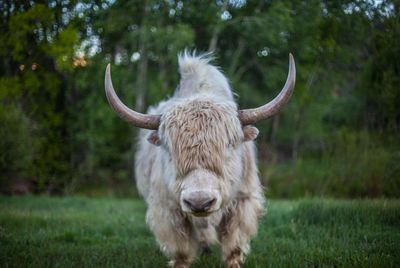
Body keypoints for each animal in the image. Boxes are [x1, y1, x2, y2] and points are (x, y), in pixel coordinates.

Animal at [104, 51, 296, 266]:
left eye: (229, 145)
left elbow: (233, 245)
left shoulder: (243, 202)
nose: (199, 202)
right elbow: (181, 249)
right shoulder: (167, 209)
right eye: (169, 149)